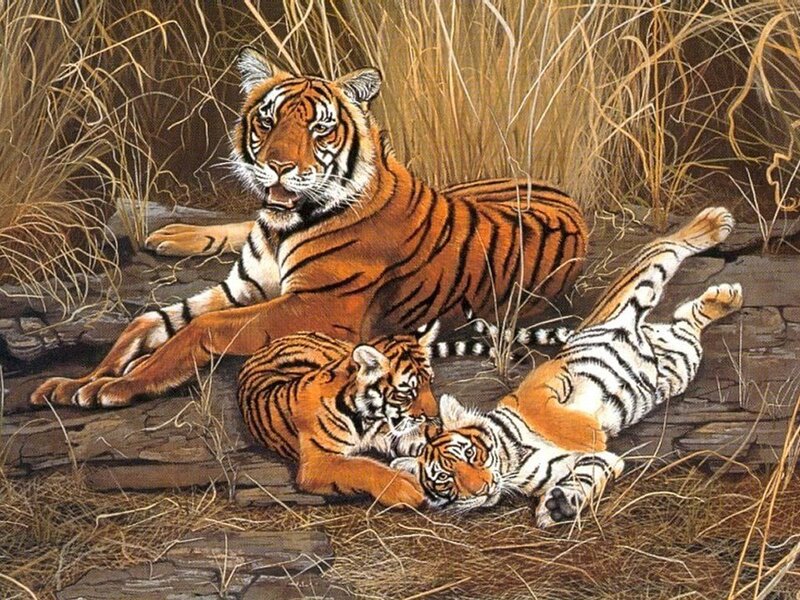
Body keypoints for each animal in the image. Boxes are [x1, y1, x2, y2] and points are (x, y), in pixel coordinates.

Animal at [30, 47, 589, 419]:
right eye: (268, 120)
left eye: (319, 128)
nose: (278, 166)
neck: (283, 227)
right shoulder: (243, 287)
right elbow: (146, 322)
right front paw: (78, 380)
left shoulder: (315, 306)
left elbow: (199, 329)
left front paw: (117, 386)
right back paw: (170, 234)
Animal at [237, 323, 439, 507]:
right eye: (407, 393)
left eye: (430, 382)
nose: (433, 415)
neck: (368, 416)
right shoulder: (318, 462)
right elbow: (361, 466)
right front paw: (404, 487)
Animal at [392, 207, 743, 527]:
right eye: (445, 480)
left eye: (468, 454)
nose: (483, 488)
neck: (511, 459)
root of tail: (653, 333)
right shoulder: (581, 463)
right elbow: (594, 471)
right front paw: (560, 505)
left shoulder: (543, 380)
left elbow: (554, 416)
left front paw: (592, 432)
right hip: (683, 360)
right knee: (687, 317)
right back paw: (723, 299)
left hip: (635, 294)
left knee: (663, 246)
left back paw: (715, 224)